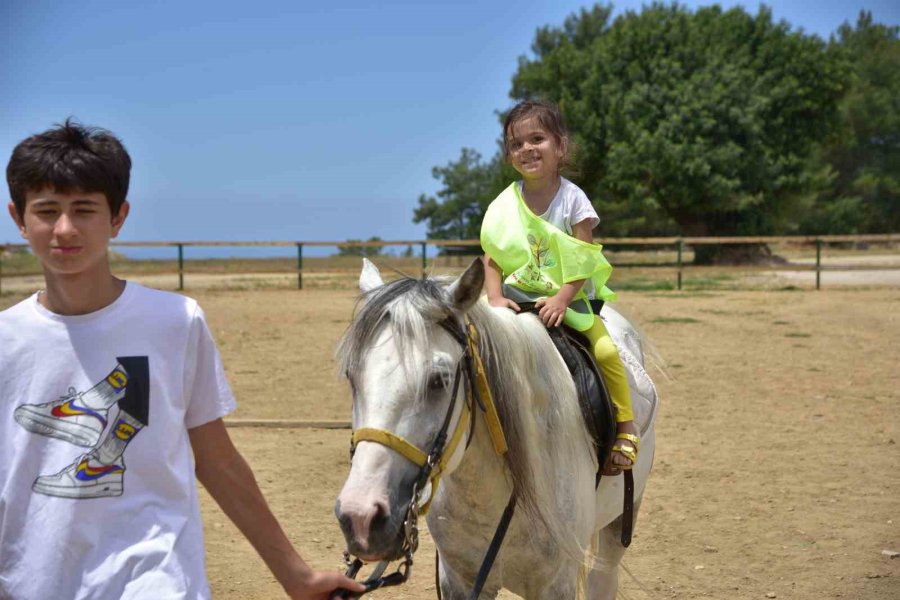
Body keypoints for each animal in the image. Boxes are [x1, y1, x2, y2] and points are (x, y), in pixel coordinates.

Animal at [334, 258, 656, 600]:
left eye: (439, 380)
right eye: (351, 376)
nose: (361, 517)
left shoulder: (556, 584)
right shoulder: (458, 580)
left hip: (619, 525)